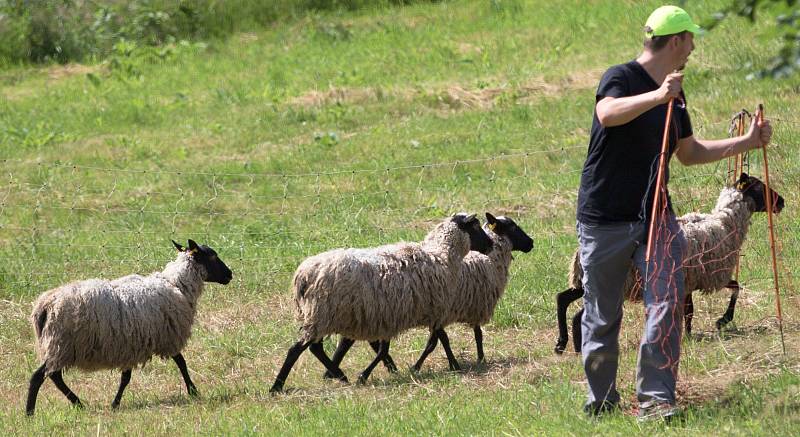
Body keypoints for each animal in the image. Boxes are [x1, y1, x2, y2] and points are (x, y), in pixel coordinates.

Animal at [25, 240, 231, 414]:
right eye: (213, 256)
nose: (230, 274)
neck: (176, 284)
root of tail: (44, 306)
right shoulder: (166, 336)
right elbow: (181, 362)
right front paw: (193, 391)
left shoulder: (131, 343)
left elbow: (126, 377)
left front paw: (115, 403)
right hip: (61, 343)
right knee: (41, 376)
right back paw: (32, 412)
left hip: (58, 345)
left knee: (54, 375)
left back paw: (77, 404)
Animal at [270, 212, 494, 392]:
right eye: (475, 227)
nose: (491, 245)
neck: (441, 254)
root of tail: (303, 275)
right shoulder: (434, 308)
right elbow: (441, 340)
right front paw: (454, 364)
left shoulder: (398, 314)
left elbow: (423, 342)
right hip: (323, 313)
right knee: (299, 349)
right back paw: (278, 386)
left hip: (326, 315)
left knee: (315, 348)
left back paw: (338, 375)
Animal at [552, 174, 784, 354]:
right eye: (760, 187)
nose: (781, 202)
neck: (723, 224)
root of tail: (581, 251)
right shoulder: (711, 273)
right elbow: (733, 289)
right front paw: (721, 321)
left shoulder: (692, 279)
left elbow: (691, 309)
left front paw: (688, 334)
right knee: (579, 314)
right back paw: (578, 347)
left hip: (585, 282)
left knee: (562, 299)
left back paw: (563, 345)